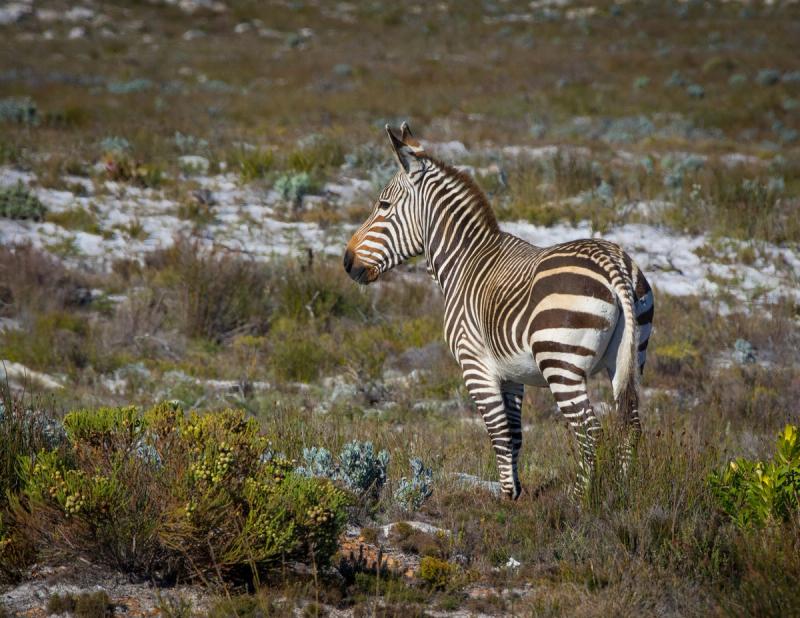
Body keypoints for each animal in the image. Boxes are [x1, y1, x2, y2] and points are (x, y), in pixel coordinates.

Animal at [343, 123, 654, 500]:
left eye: (383, 205)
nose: (347, 262)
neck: (464, 261)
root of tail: (613, 263)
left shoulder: (475, 365)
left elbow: (498, 433)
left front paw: (506, 496)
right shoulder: (512, 375)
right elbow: (516, 435)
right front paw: (516, 493)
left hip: (560, 361)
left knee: (589, 429)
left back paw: (580, 499)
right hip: (628, 356)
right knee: (630, 425)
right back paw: (624, 493)